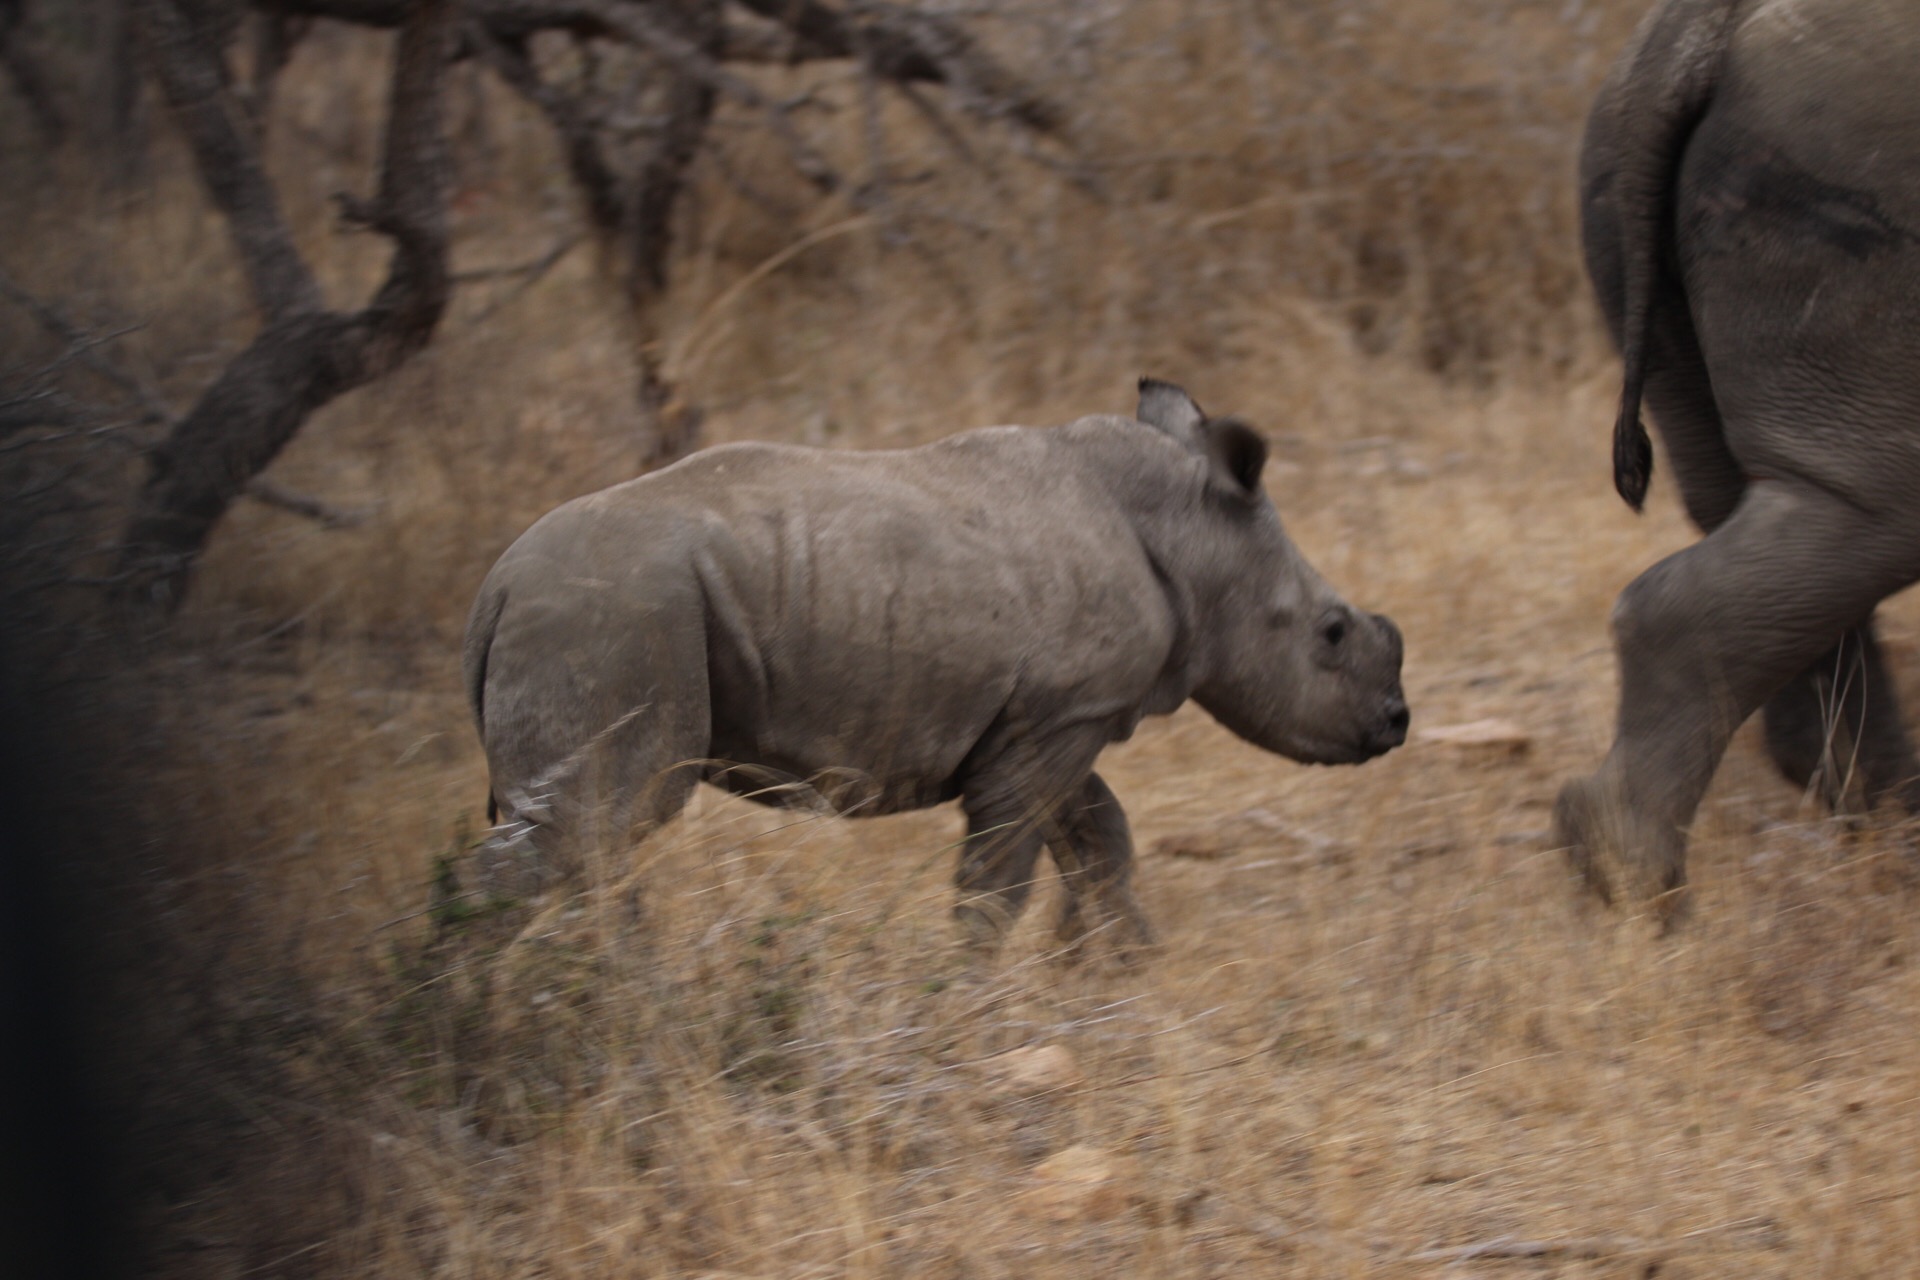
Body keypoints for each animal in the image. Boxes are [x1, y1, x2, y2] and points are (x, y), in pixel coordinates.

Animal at [456, 379, 1405, 951]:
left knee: (587, 845)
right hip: (611, 617)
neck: (1195, 534)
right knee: (593, 829)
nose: (1396, 724)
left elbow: (1101, 834)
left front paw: (1111, 968)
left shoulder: (1059, 718)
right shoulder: (1063, 716)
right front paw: (975, 992)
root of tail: (494, 588)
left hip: (604, 615)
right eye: (1331, 634)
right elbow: (1000, 875)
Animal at [1551, 0, 1920, 917]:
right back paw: (1638, 896)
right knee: (1878, 513)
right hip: (1844, 163)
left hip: (1615, 171)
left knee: (1788, 524)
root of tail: (1695, 34)